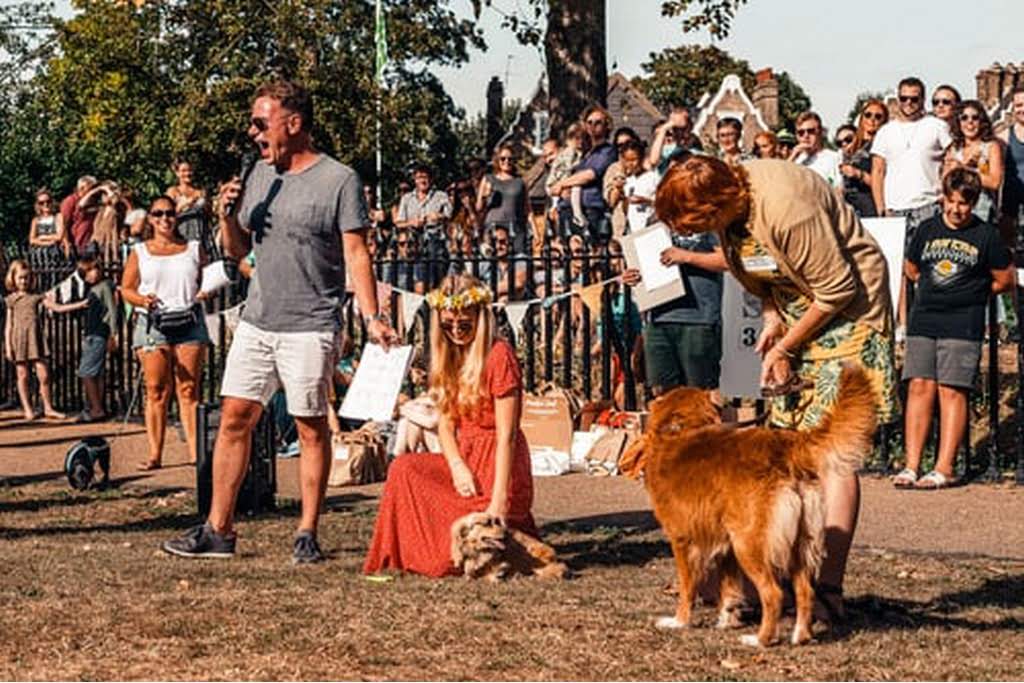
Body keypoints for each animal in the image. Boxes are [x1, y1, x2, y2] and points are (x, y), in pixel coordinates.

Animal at [619, 365, 876, 647]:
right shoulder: (726, 548)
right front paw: (726, 621)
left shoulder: (684, 540)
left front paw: (679, 621)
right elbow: (728, 590)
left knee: (773, 593)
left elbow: (688, 587)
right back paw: (800, 636)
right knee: (805, 590)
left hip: (749, 543)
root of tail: (787, 448)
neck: (680, 431)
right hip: (796, 543)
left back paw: (761, 639)